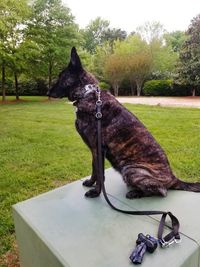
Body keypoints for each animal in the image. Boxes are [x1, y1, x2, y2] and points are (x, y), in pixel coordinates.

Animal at [46, 47, 200, 199]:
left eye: (61, 77)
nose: (47, 92)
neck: (87, 93)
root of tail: (174, 178)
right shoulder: (94, 150)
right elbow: (94, 169)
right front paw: (90, 183)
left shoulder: (97, 149)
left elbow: (100, 174)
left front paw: (96, 192)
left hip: (130, 169)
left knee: (162, 191)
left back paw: (135, 193)